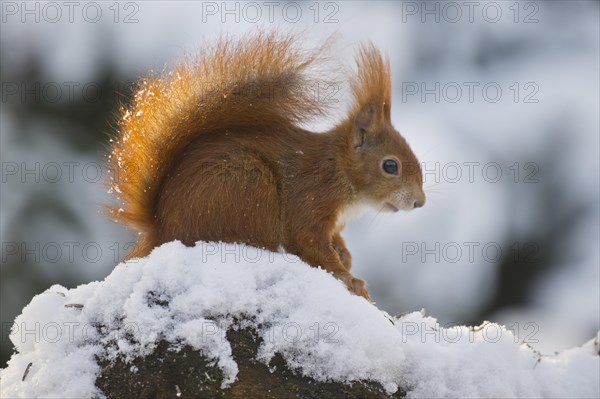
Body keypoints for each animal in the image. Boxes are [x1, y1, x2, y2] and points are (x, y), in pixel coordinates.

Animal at [110, 32, 424, 300]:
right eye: (390, 166)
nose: (420, 202)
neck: (340, 170)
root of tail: (161, 229)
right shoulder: (312, 194)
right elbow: (308, 241)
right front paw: (350, 279)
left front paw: (344, 255)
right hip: (250, 185)